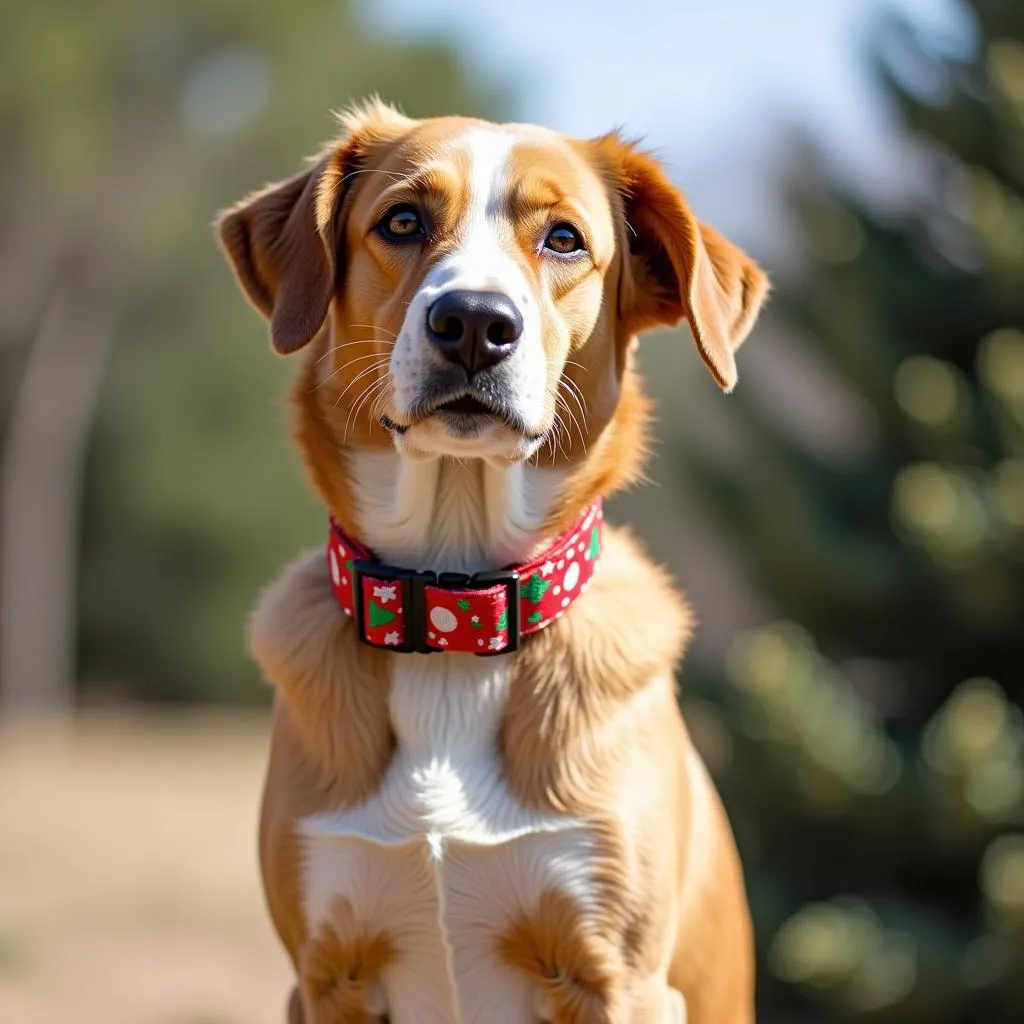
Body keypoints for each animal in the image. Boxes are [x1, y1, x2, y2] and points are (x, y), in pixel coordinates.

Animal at [216, 97, 765, 1024]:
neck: (453, 608)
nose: (474, 321)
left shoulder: (621, 980)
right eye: (402, 220)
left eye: (565, 239)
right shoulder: (325, 976)